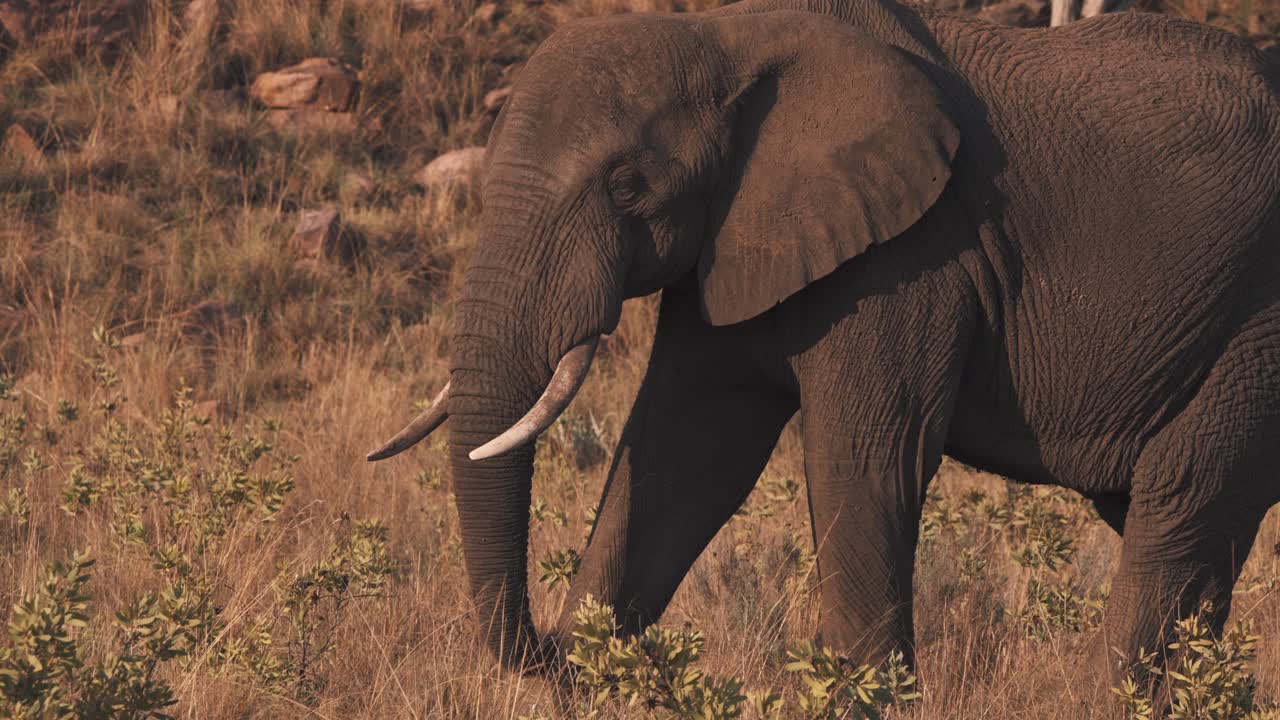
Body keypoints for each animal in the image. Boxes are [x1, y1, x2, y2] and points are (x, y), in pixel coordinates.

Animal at [368, 0, 1280, 679]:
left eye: (628, 186)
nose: (552, 648)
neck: (725, 38)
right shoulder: (735, 234)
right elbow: (684, 451)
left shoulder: (914, 256)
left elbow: (868, 455)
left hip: (1256, 326)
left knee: (1180, 503)